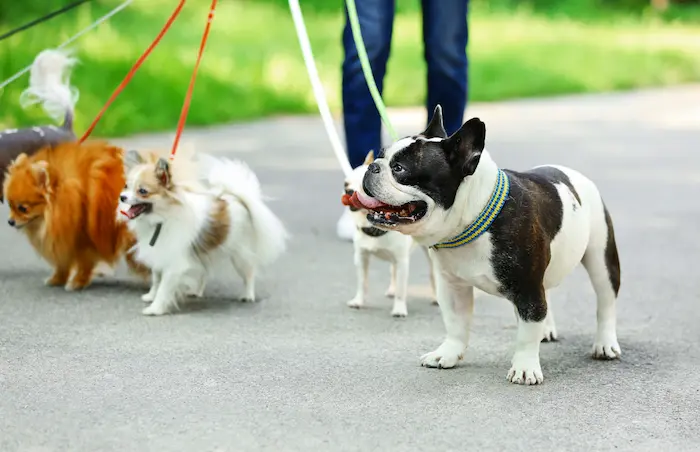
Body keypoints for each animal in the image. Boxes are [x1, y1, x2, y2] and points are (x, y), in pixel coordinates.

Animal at [2, 140, 147, 290]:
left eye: (23, 208)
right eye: (10, 205)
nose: (10, 221)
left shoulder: (83, 240)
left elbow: (84, 263)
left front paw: (77, 281)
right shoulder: (63, 237)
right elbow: (63, 262)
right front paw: (58, 278)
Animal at [120, 148, 288, 314]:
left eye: (142, 191)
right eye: (126, 186)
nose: (122, 197)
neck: (162, 218)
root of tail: (236, 198)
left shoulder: (174, 262)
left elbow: (164, 287)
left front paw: (155, 308)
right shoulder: (159, 253)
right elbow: (156, 279)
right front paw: (151, 296)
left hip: (240, 256)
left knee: (248, 274)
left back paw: (247, 295)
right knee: (204, 272)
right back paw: (197, 291)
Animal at [342, 150, 434, 316]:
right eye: (345, 184)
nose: (349, 191)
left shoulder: (402, 262)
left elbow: (401, 290)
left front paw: (399, 309)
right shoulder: (362, 258)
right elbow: (362, 282)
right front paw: (358, 301)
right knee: (393, 270)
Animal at [352, 107, 620, 384]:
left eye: (399, 169)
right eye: (381, 156)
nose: (372, 166)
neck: (471, 220)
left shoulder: (528, 288)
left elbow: (527, 333)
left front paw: (525, 367)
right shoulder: (452, 285)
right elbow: (455, 324)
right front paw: (447, 354)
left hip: (601, 258)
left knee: (605, 301)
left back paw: (605, 344)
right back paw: (547, 329)